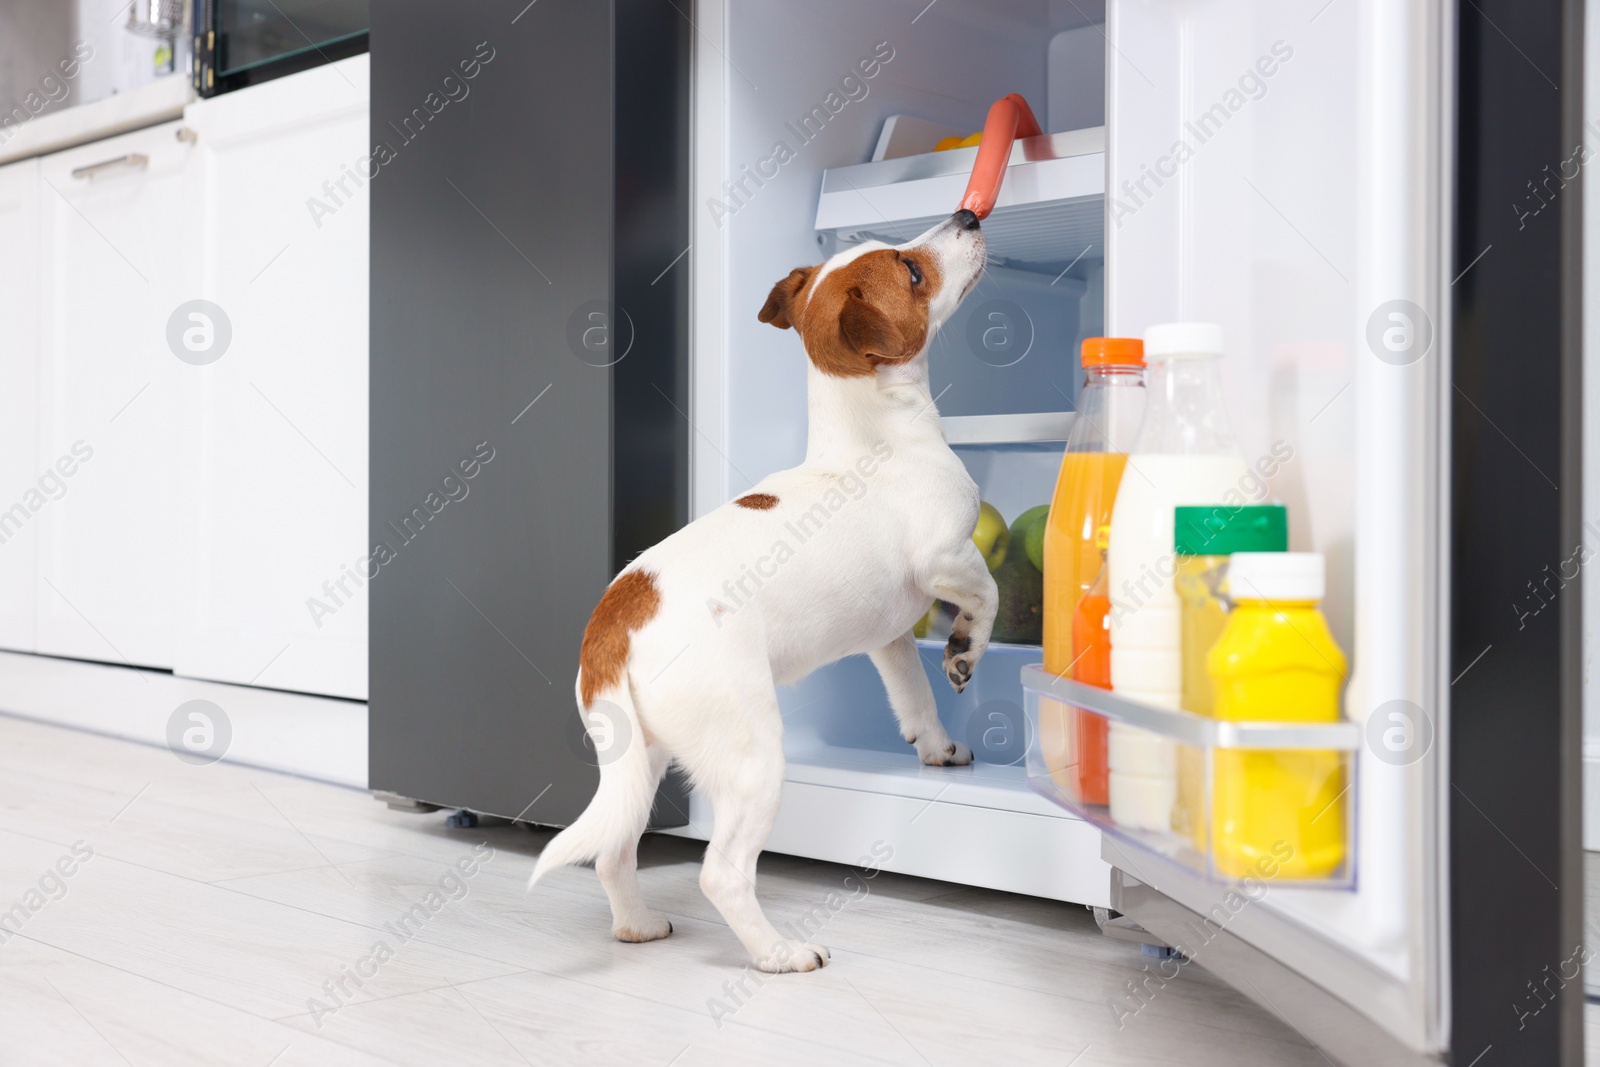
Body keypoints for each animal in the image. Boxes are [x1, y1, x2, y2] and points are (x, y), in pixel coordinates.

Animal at [531, 207, 992, 979]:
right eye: (910, 269)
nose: (967, 214)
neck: (869, 437)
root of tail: (617, 617)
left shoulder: (889, 637)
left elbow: (916, 698)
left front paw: (936, 746)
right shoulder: (949, 557)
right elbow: (984, 599)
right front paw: (964, 651)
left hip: (638, 763)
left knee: (615, 852)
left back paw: (638, 926)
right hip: (753, 757)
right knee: (722, 873)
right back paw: (780, 953)